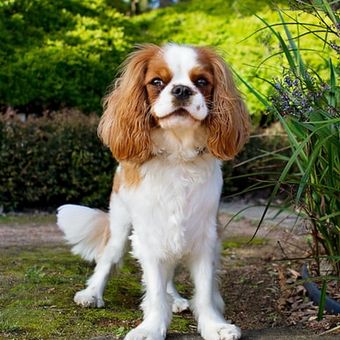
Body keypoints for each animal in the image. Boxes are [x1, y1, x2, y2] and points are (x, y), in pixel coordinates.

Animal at [57, 43, 248, 340]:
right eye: (157, 82)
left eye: (201, 82)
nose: (181, 90)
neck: (177, 156)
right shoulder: (148, 235)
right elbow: (154, 288)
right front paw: (152, 327)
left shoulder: (205, 236)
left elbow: (204, 289)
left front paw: (213, 325)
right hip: (120, 225)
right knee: (107, 259)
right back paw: (91, 294)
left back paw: (176, 299)